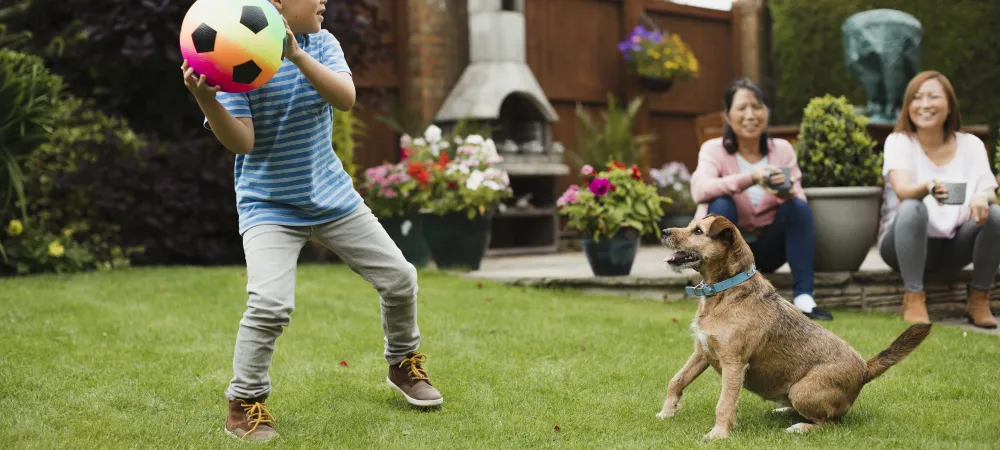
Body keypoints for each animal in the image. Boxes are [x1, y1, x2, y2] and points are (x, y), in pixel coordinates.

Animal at [656, 214, 928, 440]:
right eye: (690, 225)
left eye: (698, 231)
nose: (664, 230)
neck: (728, 290)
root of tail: (865, 369)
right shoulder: (701, 352)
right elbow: (676, 380)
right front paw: (667, 412)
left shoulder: (734, 363)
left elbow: (724, 403)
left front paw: (719, 433)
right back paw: (784, 410)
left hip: (802, 390)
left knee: (831, 424)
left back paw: (800, 427)